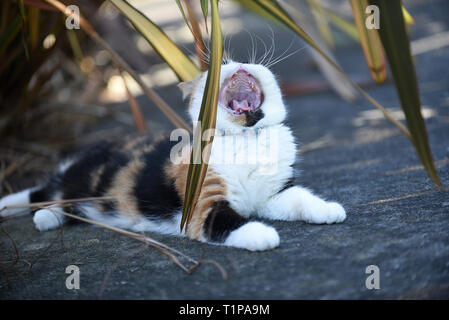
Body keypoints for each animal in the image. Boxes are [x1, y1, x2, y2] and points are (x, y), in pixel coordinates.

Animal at [0, 61, 346, 251]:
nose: (233, 64)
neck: (246, 139)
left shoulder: (274, 193)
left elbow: (300, 198)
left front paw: (327, 209)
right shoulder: (200, 202)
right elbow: (223, 220)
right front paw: (259, 233)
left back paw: (49, 217)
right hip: (80, 181)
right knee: (43, 192)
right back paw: (35, 214)